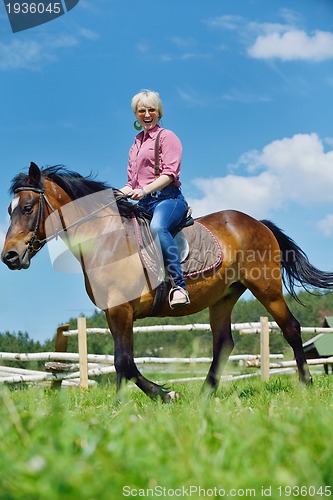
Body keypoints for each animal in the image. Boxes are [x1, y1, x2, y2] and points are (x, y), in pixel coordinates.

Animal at [2, 162, 332, 400]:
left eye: (28, 208)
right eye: (9, 210)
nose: (9, 256)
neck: (105, 239)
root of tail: (257, 223)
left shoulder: (121, 310)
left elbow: (124, 362)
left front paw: (163, 395)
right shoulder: (113, 313)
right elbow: (123, 362)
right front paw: (121, 406)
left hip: (266, 288)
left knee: (291, 328)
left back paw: (305, 384)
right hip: (223, 297)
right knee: (223, 343)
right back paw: (205, 394)